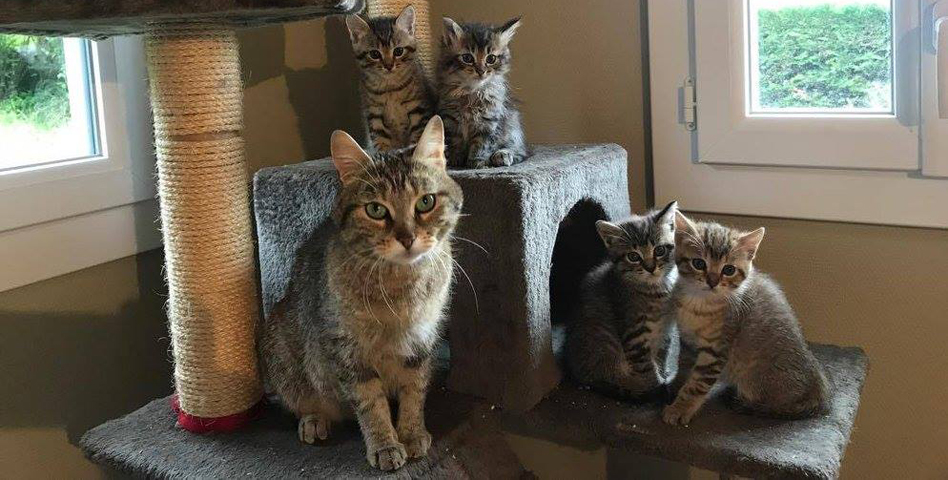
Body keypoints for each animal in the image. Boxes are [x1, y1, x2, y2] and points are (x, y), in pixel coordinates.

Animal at [257, 116, 464, 471]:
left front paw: (411, 434)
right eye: (376, 210)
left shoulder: (422, 342)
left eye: (425, 202)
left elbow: (413, 392)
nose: (407, 238)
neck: (400, 288)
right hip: (282, 352)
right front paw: (385, 444)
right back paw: (314, 420)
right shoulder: (348, 351)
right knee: (300, 401)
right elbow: (371, 404)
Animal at [346, 5, 435, 152]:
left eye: (398, 51)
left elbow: (418, 134)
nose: (388, 66)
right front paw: (384, 153)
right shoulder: (374, 113)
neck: (390, 88)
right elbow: (380, 138)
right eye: (374, 54)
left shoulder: (418, 108)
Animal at [437, 16, 528, 169]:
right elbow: (456, 142)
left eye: (491, 59)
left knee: (520, 151)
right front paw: (455, 160)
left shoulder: (489, 122)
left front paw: (476, 161)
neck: (472, 92)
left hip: (512, 127)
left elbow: (482, 144)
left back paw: (502, 155)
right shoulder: (451, 120)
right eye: (467, 58)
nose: (481, 71)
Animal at [565, 202, 680, 399]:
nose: (650, 268)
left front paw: (663, 374)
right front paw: (656, 387)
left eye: (660, 250)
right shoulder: (634, 333)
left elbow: (661, 355)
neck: (656, 291)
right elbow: (646, 368)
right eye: (633, 256)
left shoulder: (665, 330)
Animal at [661, 212, 829, 426]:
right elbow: (683, 366)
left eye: (729, 270)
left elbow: (697, 384)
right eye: (699, 263)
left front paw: (680, 408)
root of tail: (818, 390)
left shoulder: (716, 350)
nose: (712, 282)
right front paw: (675, 385)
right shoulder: (688, 342)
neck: (698, 303)